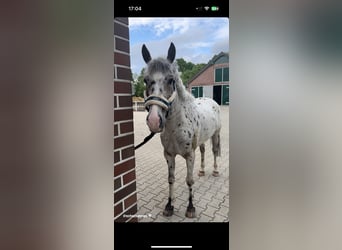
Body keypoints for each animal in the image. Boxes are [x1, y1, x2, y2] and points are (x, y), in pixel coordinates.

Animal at [142, 42, 222, 218]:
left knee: (214, 151)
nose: (154, 121)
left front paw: (190, 208)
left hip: (216, 134)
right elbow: (171, 179)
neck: (176, 127)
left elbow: (189, 180)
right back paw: (202, 170)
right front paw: (169, 206)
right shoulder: (169, 155)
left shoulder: (189, 155)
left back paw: (215, 171)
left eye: (171, 79)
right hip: (201, 140)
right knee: (204, 151)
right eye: (145, 80)